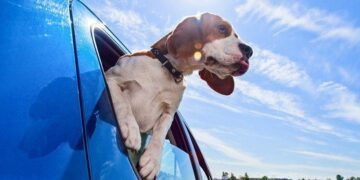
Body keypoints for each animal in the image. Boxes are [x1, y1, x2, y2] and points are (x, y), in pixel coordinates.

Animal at [105, 12, 252, 179]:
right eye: (221, 28)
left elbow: (160, 134)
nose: (249, 51)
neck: (167, 69)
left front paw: (152, 161)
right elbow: (122, 102)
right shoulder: (111, 78)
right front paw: (130, 128)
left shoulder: (168, 113)